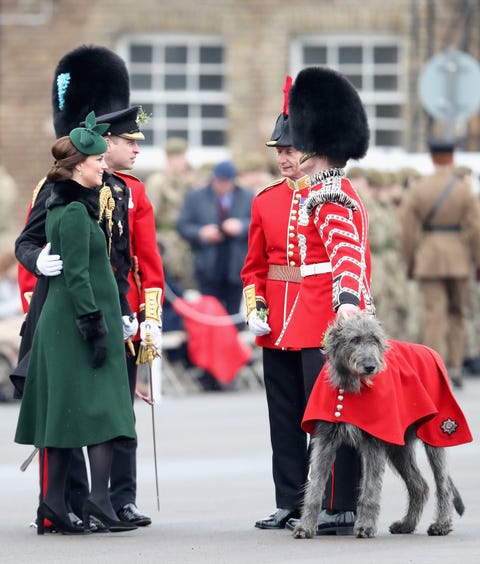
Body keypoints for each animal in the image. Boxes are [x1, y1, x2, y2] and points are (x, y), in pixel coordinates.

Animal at [292, 312, 464, 536]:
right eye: (354, 340)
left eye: (374, 339)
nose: (370, 366)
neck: (350, 384)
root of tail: (430, 351)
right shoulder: (325, 440)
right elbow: (315, 486)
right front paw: (305, 527)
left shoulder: (374, 441)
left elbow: (370, 487)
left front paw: (365, 525)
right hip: (398, 447)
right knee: (419, 485)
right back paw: (406, 524)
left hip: (435, 433)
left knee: (443, 483)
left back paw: (441, 524)